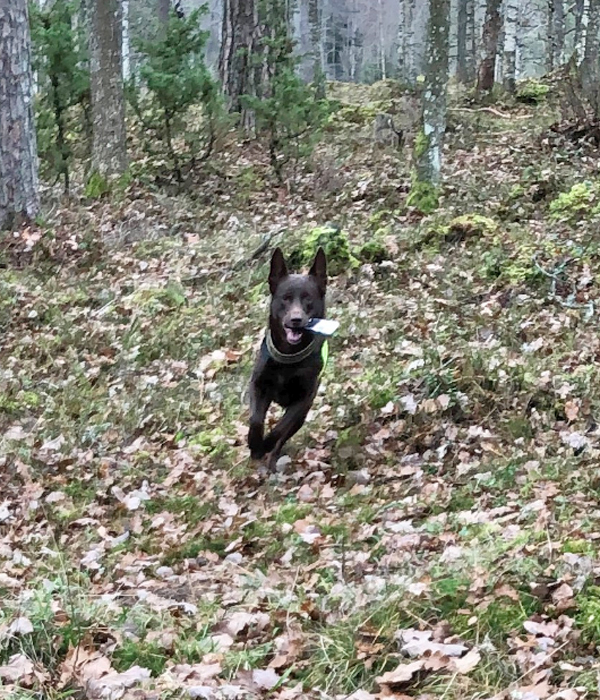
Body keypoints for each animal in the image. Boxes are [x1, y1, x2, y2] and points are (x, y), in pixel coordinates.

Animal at [248, 247, 327, 471]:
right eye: (285, 298)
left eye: (308, 298)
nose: (296, 320)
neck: (289, 357)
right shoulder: (257, 385)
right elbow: (255, 419)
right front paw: (254, 443)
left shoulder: (302, 399)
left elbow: (280, 428)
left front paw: (265, 445)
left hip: (303, 414)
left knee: (285, 435)